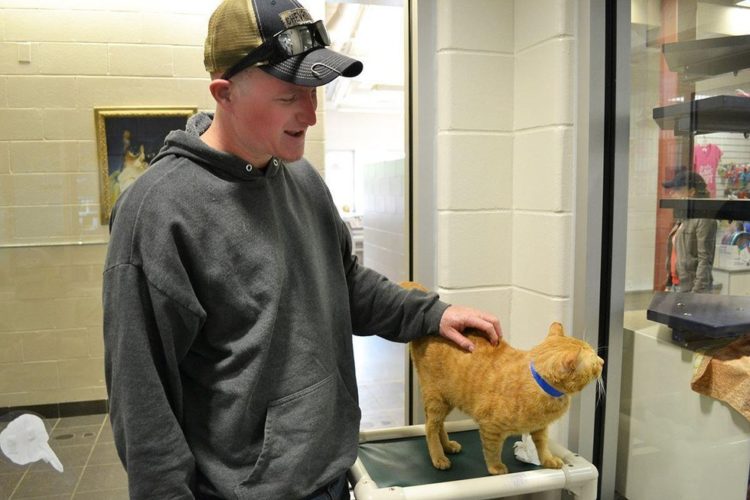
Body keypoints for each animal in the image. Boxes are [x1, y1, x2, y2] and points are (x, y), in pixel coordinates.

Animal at [412, 290, 604, 472]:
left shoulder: (540, 427)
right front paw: (496, 468)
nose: (602, 361)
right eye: (594, 361)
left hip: (447, 400)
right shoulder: (490, 427)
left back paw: (447, 446)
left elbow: (542, 445)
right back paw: (438, 456)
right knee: (430, 427)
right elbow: (492, 450)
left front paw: (548, 459)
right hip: (436, 400)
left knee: (439, 424)